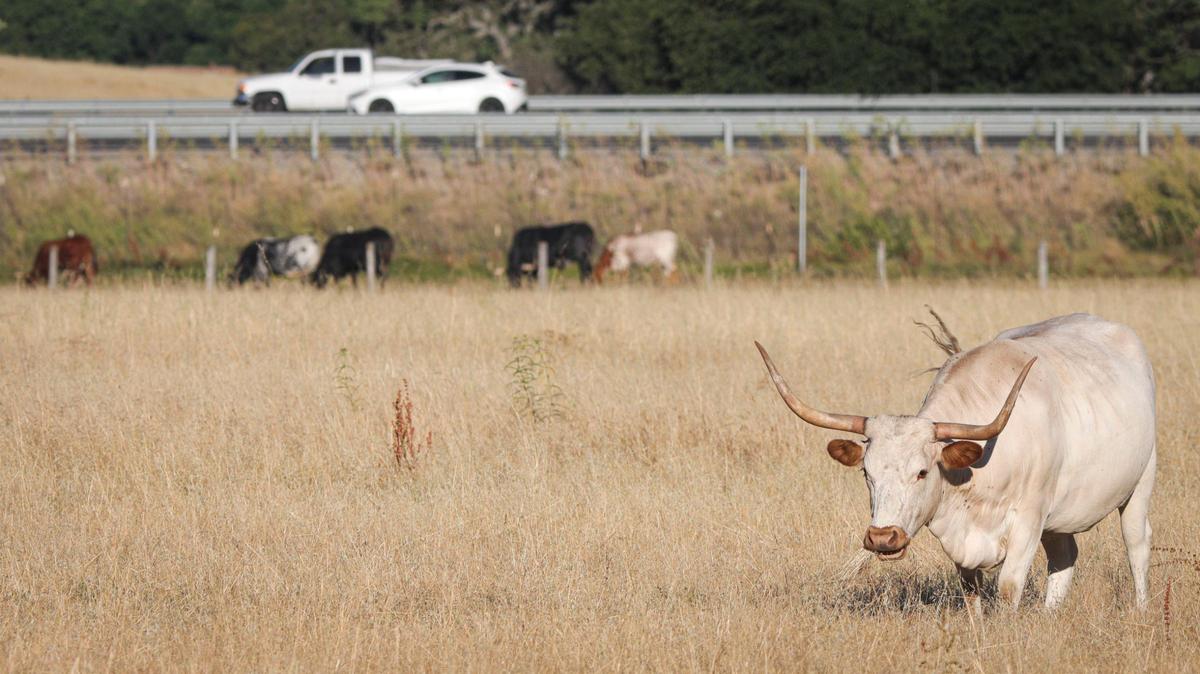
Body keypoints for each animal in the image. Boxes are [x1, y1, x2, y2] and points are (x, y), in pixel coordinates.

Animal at [755, 313, 1155, 611]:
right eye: (866, 473)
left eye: (921, 472)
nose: (883, 537)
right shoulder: (961, 536)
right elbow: (971, 593)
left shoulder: (1029, 520)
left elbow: (1008, 588)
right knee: (1064, 556)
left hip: (1141, 482)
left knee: (1136, 543)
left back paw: (1141, 609)